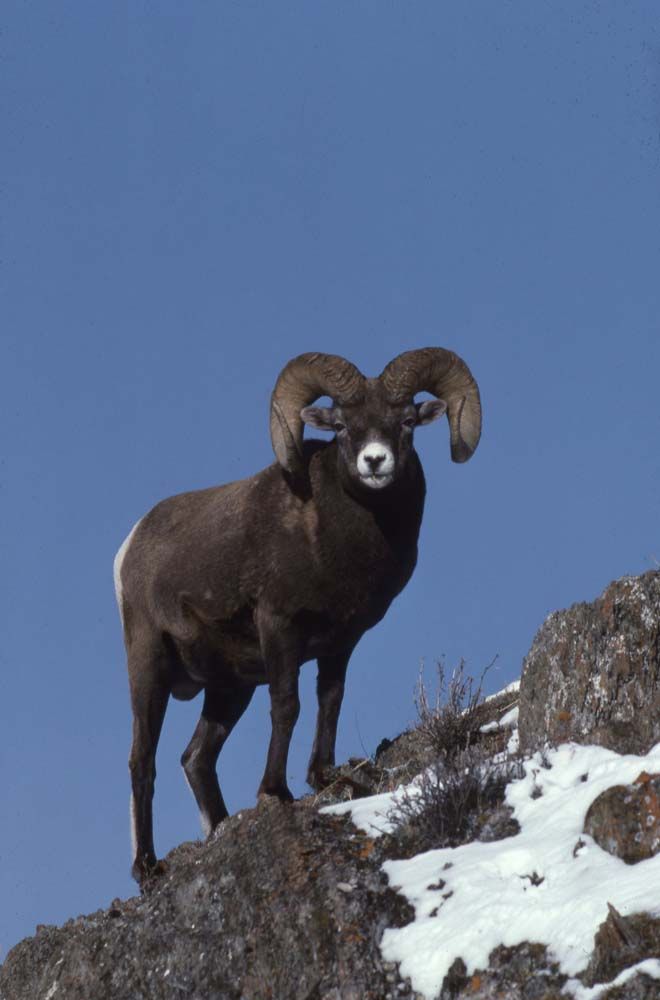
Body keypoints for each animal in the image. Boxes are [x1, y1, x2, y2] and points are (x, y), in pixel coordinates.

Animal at [115, 348, 481, 884]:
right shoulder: (279, 628)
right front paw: (276, 791)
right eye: (343, 426)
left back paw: (219, 828)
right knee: (143, 759)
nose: (376, 462)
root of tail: (130, 546)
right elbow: (288, 706)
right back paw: (146, 867)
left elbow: (330, 699)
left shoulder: (341, 642)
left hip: (230, 688)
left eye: (407, 422)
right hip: (150, 669)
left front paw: (323, 775)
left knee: (196, 758)